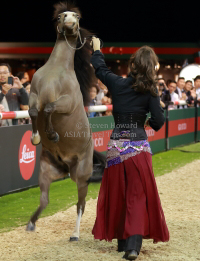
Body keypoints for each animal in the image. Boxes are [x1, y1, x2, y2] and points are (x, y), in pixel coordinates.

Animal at [27, 1, 105, 240]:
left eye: (77, 17)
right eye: (62, 15)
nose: (69, 23)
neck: (56, 71)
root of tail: (66, 166)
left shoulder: (66, 102)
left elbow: (49, 108)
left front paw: (52, 134)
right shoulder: (34, 95)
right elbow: (34, 112)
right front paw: (36, 137)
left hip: (81, 176)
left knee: (80, 205)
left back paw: (75, 234)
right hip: (46, 171)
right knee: (45, 199)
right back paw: (31, 223)